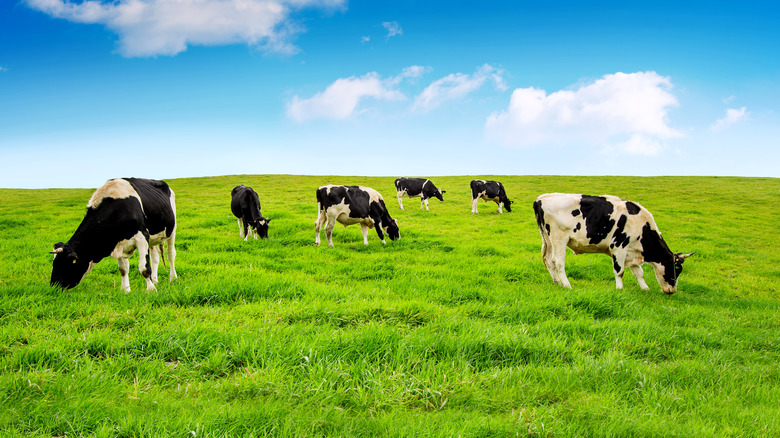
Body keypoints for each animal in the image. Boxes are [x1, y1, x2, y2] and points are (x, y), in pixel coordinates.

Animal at [532, 192, 696, 292]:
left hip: (547, 239)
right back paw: (567, 285)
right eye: (676, 269)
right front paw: (619, 288)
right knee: (558, 262)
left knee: (549, 260)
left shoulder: (631, 251)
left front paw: (645, 288)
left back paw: (557, 283)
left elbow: (639, 272)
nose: (672, 291)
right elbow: (620, 270)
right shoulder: (619, 247)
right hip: (559, 238)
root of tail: (541, 198)